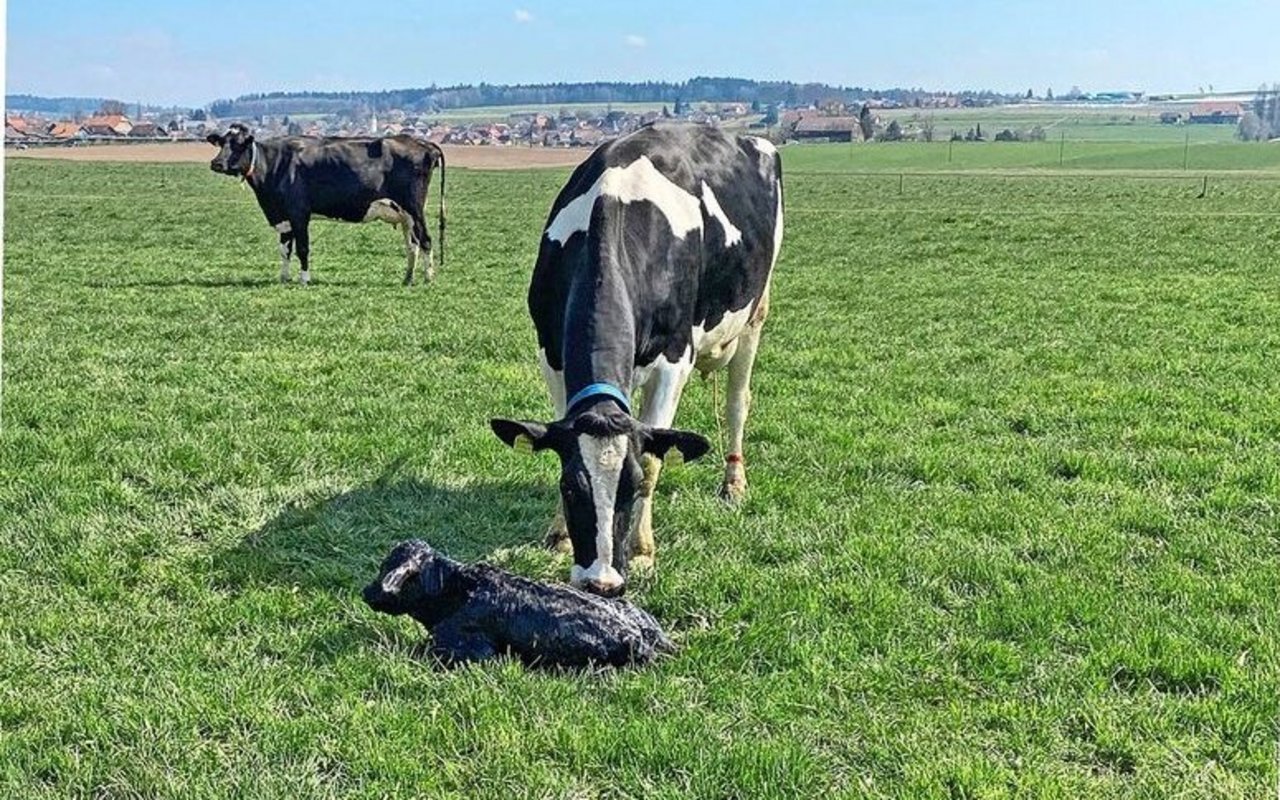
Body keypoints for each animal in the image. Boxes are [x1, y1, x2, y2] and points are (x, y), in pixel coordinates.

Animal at [206, 124, 445, 285]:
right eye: (222, 143)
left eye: (239, 145)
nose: (216, 163)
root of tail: (422, 143)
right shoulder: (284, 216)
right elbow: (285, 250)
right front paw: (284, 278)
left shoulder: (299, 213)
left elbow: (302, 248)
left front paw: (305, 279)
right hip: (405, 216)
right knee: (412, 245)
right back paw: (408, 278)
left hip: (414, 208)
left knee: (425, 240)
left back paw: (428, 279)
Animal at [490, 122, 784, 597]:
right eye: (571, 489)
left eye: (629, 489)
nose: (601, 583)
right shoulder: (551, 357)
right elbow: (563, 435)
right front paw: (559, 535)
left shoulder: (674, 360)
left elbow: (652, 458)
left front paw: (643, 551)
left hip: (755, 313)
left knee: (737, 405)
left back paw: (734, 484)